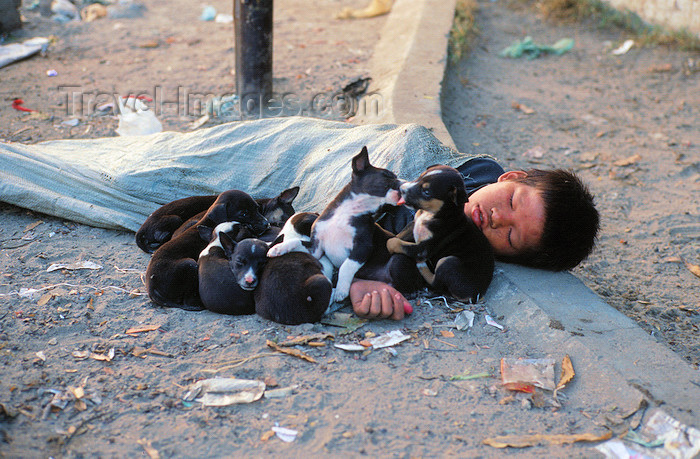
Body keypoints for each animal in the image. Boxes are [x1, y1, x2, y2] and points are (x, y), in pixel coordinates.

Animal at [266, 147, 402, 304]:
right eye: (388, 176)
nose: (405, 184)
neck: (347, 212)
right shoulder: (316, 248)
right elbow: (296, 241)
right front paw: (278, 248)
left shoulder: (362, 247)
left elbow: (346, 266)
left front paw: (341, 290)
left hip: (396, 260)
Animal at [386, 165, 494, 302]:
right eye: (419, 177)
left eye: (426, 192)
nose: (401, 189)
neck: (432, 214)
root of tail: (475, 296)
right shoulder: (413, 224)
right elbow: (400, 235)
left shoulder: (423, 249)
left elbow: (395, 242)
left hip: (448, 262)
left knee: (435, 281)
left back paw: (422, 267)